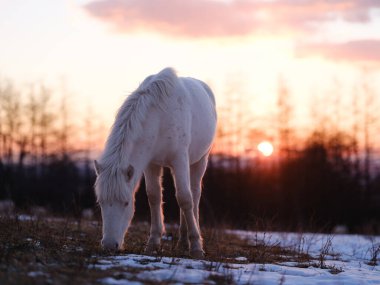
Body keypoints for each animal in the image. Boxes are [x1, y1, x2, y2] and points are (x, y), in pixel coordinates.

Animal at [94, 67, 217, 258]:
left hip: (200, 160)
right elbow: (154, 196)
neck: (159, 118)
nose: (108, 245)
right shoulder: (151, 164)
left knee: (194, 195)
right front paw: (153, 243)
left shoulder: (180, 160)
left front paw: (197, 247)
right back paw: (182, 242)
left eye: (126, 203)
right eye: (101, 202)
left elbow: (185, 199)